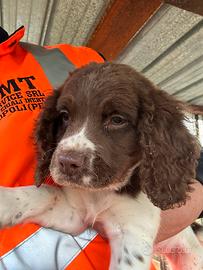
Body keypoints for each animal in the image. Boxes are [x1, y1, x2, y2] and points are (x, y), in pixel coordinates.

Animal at [0, 62, 201, 268]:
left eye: (117, 120)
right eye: (64, 116)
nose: (67, 162)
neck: (101, 194)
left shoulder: (134, 232)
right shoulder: (75, 215)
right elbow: (44, 194)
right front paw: (4, 201)